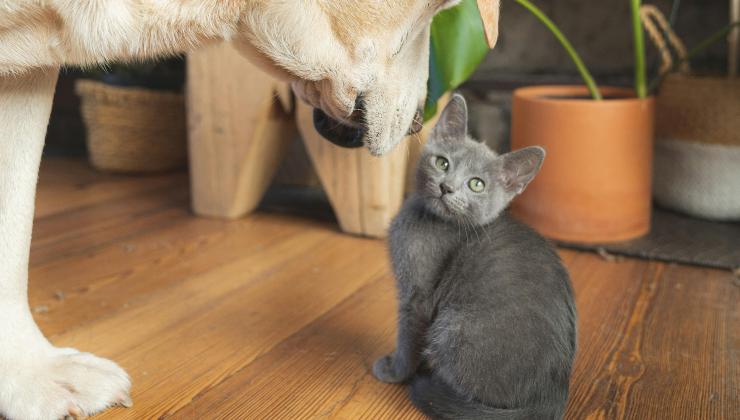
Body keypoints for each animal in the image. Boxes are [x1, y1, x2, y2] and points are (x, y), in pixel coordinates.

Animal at [372, 94, 576, 420]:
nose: (446, 187)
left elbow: (408, 336)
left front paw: (395, 371)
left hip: (451, 326)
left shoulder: (417, 296)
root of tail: (551, 396)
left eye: (476, 184)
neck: (429, 219)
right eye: (442, 163)